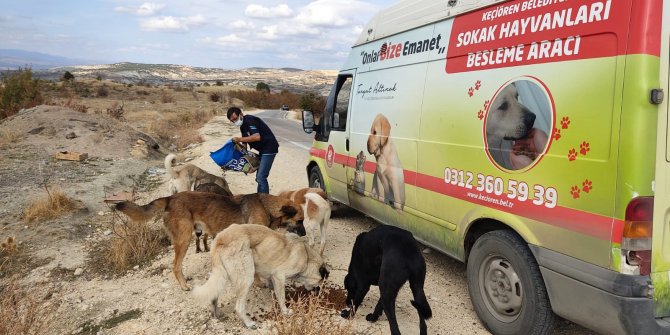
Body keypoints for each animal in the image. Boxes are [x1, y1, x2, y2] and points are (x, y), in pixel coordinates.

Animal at [115, 192, 304, 292]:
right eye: (300, 221)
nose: (304, 233)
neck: (267, 207)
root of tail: (170, 198)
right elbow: (255, 270)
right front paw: (259, 283)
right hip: (184, 240)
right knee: (175, 265)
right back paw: (184, 286)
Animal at [194, 224, 330, 330]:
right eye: (321, 283)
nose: (318, 293)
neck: (307, 258)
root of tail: (220, 238)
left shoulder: (272, 276)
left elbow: (273, 287)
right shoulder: (279, 276)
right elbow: (281, 297)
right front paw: (285, 311)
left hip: (222, 274)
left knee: (214, 295)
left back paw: (216, 314)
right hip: (246, 278)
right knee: (239, 307)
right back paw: (249, 323)